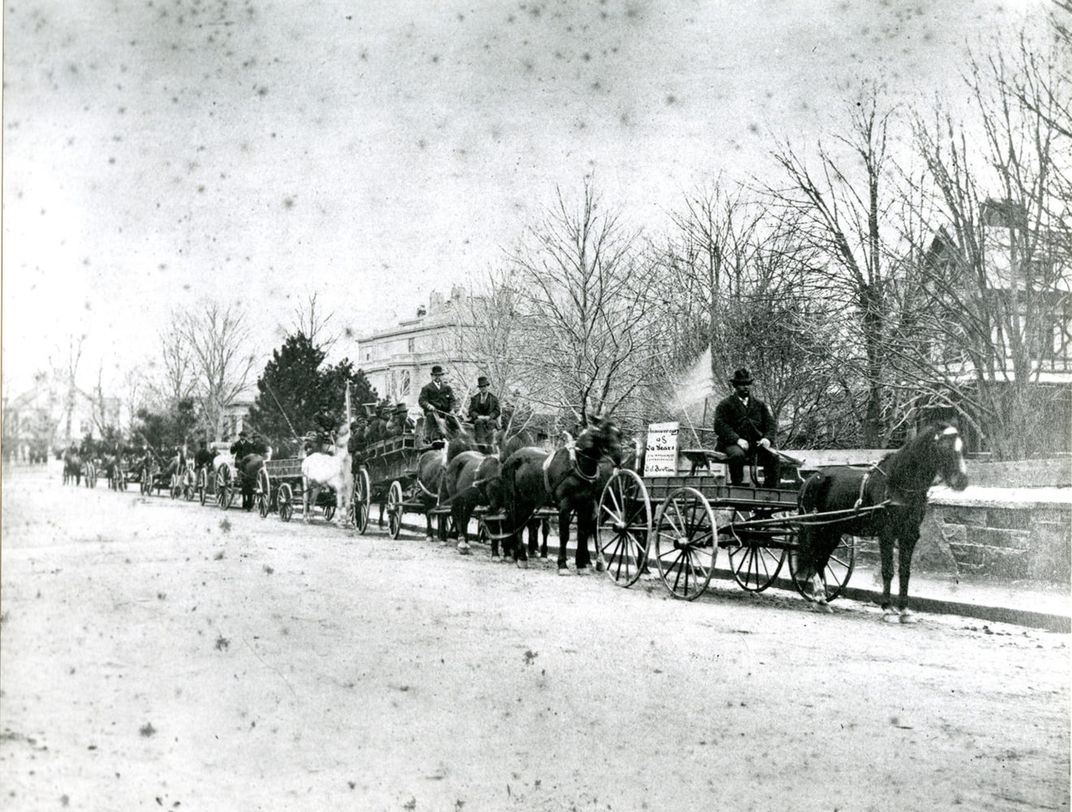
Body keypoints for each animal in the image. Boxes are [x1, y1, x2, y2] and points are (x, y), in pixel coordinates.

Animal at [497, 414, 626, 574]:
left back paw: (517, 555)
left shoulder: (586, 505)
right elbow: (564, 535)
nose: (618, 458)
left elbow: (582, 534)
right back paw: (519, 556)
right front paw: (563, 564)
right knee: (515, 523)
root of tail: (512, 458)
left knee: (520, 523)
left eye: (619, 434)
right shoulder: (565, 506)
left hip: (528, 502)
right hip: (515, 500)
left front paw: (582, 565)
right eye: (602, 434)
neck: (577, 466)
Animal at [793, 418, 969, 622]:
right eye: (943, 446)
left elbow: (905, 572)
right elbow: (888, 570)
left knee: (821, 559)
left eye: (961, 447)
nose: (962, 481)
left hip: (832, 530)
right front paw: (887, 608)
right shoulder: (887, 534)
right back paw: (820, 595)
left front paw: (904, 610)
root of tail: (811, 477)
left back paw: (821, 600)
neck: (898, 484)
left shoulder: (909, 535)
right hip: (815, 527)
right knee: (813, 555)